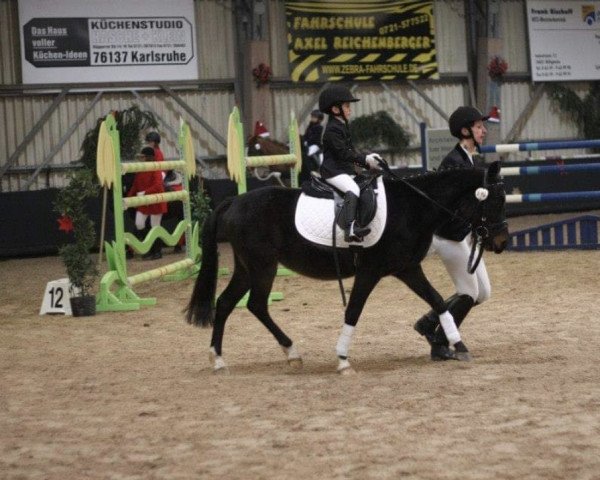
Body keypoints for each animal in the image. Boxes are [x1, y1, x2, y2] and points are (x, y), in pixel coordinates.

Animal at [185, 163, 508, 374]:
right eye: (495, 200)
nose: (502, 241)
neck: (412, 207)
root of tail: (233, 201)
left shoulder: (407, 269)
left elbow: (438, 301)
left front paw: (458, 346)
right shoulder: (370, 272)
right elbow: (353, 311)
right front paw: (342, 359)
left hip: (247, 268)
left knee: (228, 303)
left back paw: (224, 358)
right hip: (262, 266)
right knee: (255, 305)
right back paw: (279, 353)